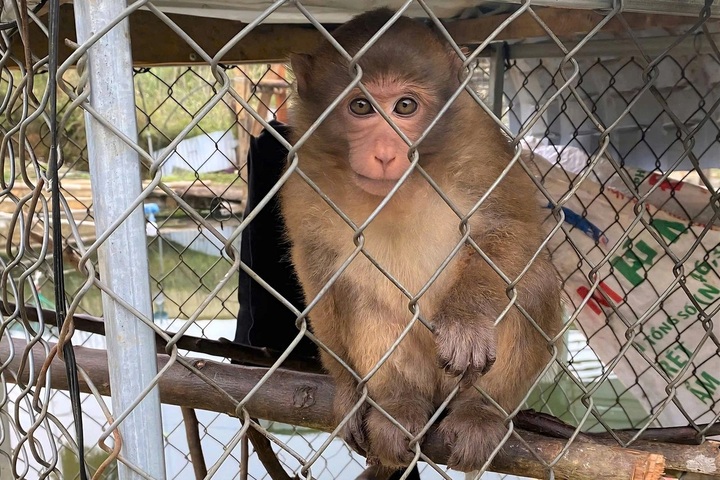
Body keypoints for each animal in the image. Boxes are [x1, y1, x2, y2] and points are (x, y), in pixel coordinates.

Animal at [279, 8, 563, 474]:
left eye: (405, 106)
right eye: (361, 106)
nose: (384, 152)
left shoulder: (479, 143)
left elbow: (513, 229)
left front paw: (466, 324)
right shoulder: (305, 173)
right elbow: (318, 266)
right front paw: (349, 391)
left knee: (532, 280)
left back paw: (481, 412)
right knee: (358, 295)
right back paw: (398, 404)